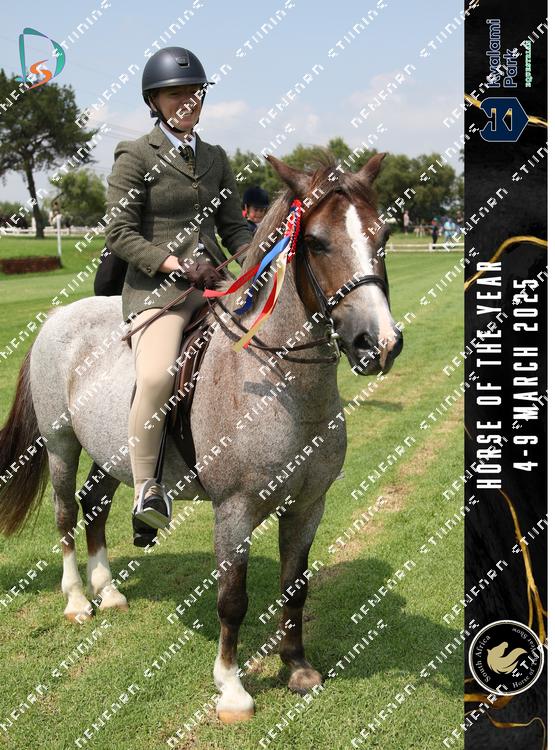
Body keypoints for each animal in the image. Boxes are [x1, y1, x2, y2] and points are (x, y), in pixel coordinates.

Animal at [0, 152, 402, 723]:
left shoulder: (308, 505)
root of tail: (59, 315)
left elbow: (295, 586)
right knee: (63, 513)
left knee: (94, 503)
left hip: (111, 451)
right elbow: (232, 599)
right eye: (318, 242)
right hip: (60, 444)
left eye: (383, 233)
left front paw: (298, 668)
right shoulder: (234, 509)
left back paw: (110, 591)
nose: (380, 343)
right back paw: (78, 601)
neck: (279, 382)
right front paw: (231, 689)